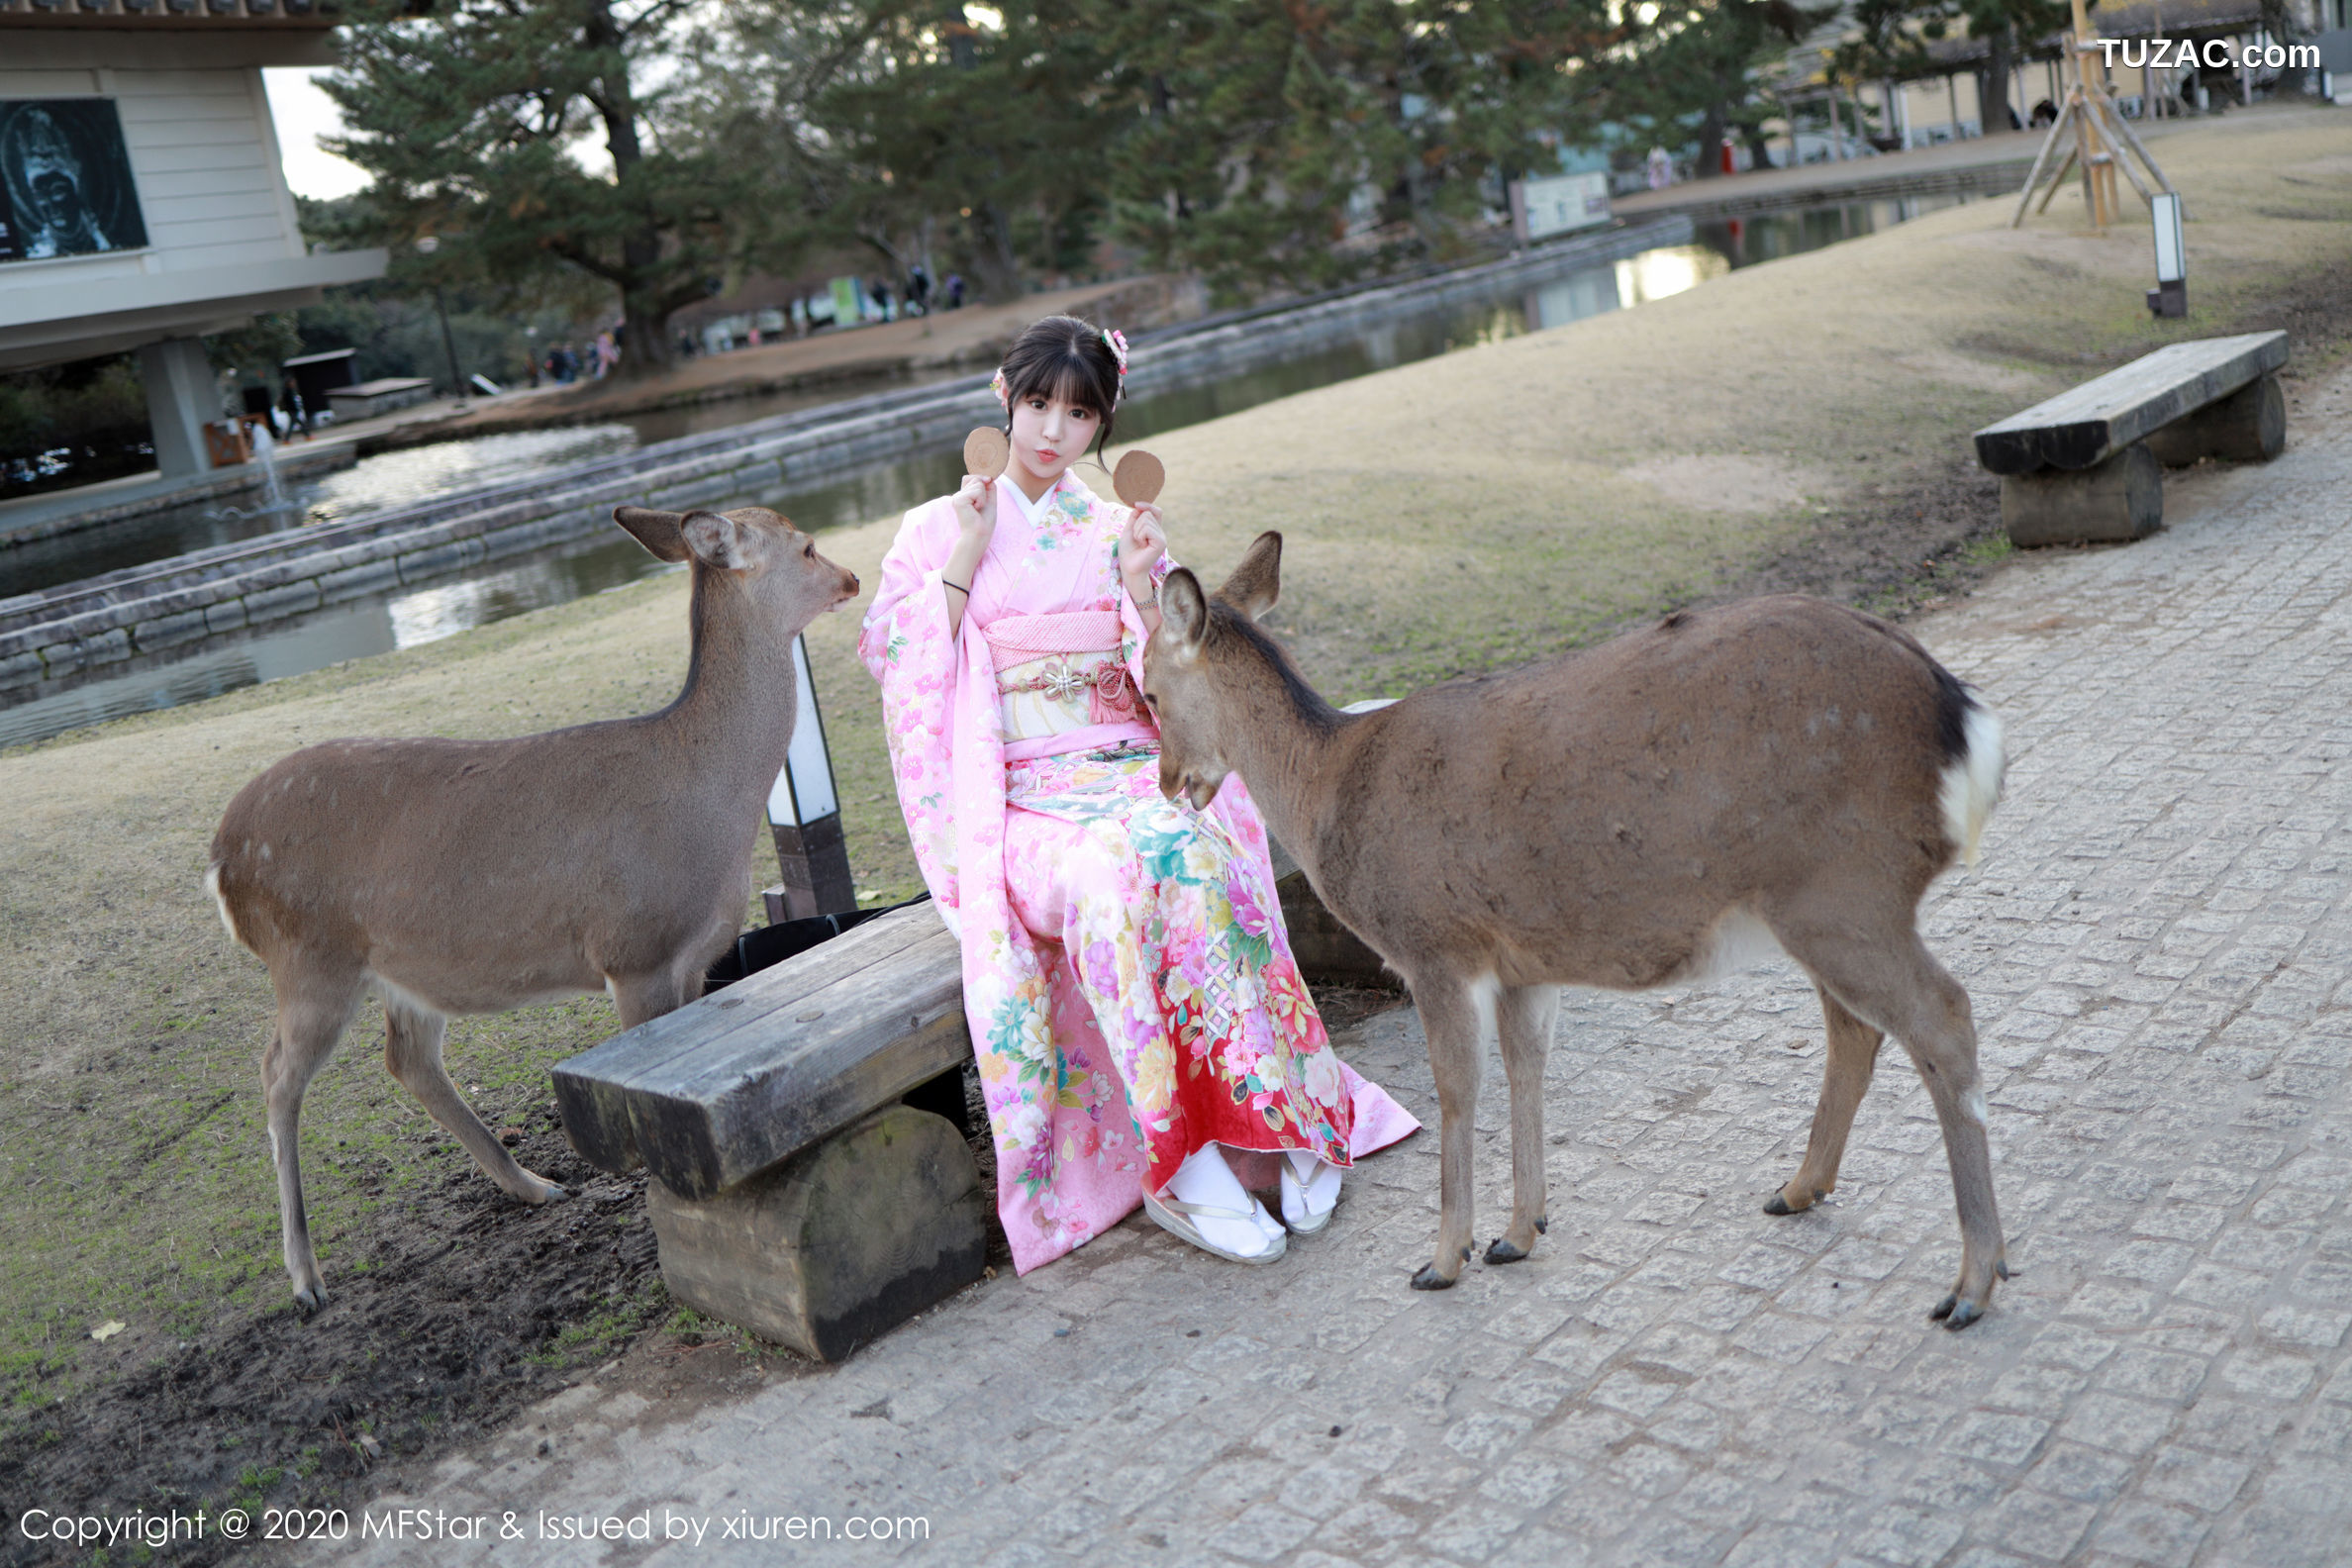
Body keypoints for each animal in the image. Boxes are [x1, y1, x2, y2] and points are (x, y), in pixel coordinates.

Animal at [207, 510, 860, 1307]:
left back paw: (533, 1185)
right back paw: (305, 1278)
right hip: (306, 956)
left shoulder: (695, 957)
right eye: (806, 545)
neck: (712, 807)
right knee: (276, 1075)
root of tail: (219, 858)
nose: (852, 576)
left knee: (407, 1059)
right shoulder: (633, 948)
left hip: (401, 966)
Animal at [1137, 534, 2004, 1334]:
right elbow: (1528, 1068)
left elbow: (1458, 1089)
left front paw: (1443, 1258)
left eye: (1145, 685)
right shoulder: (1522, 960)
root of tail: (1962, 718)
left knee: (1943, 1016)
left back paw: (1971, 1283)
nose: (1171, 781)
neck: (1325, 790)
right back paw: (1798, 1189)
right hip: (1821, 901)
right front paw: (1519, 1232)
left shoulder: (1434, 945)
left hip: (1845, 886)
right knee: (1857, 1028)